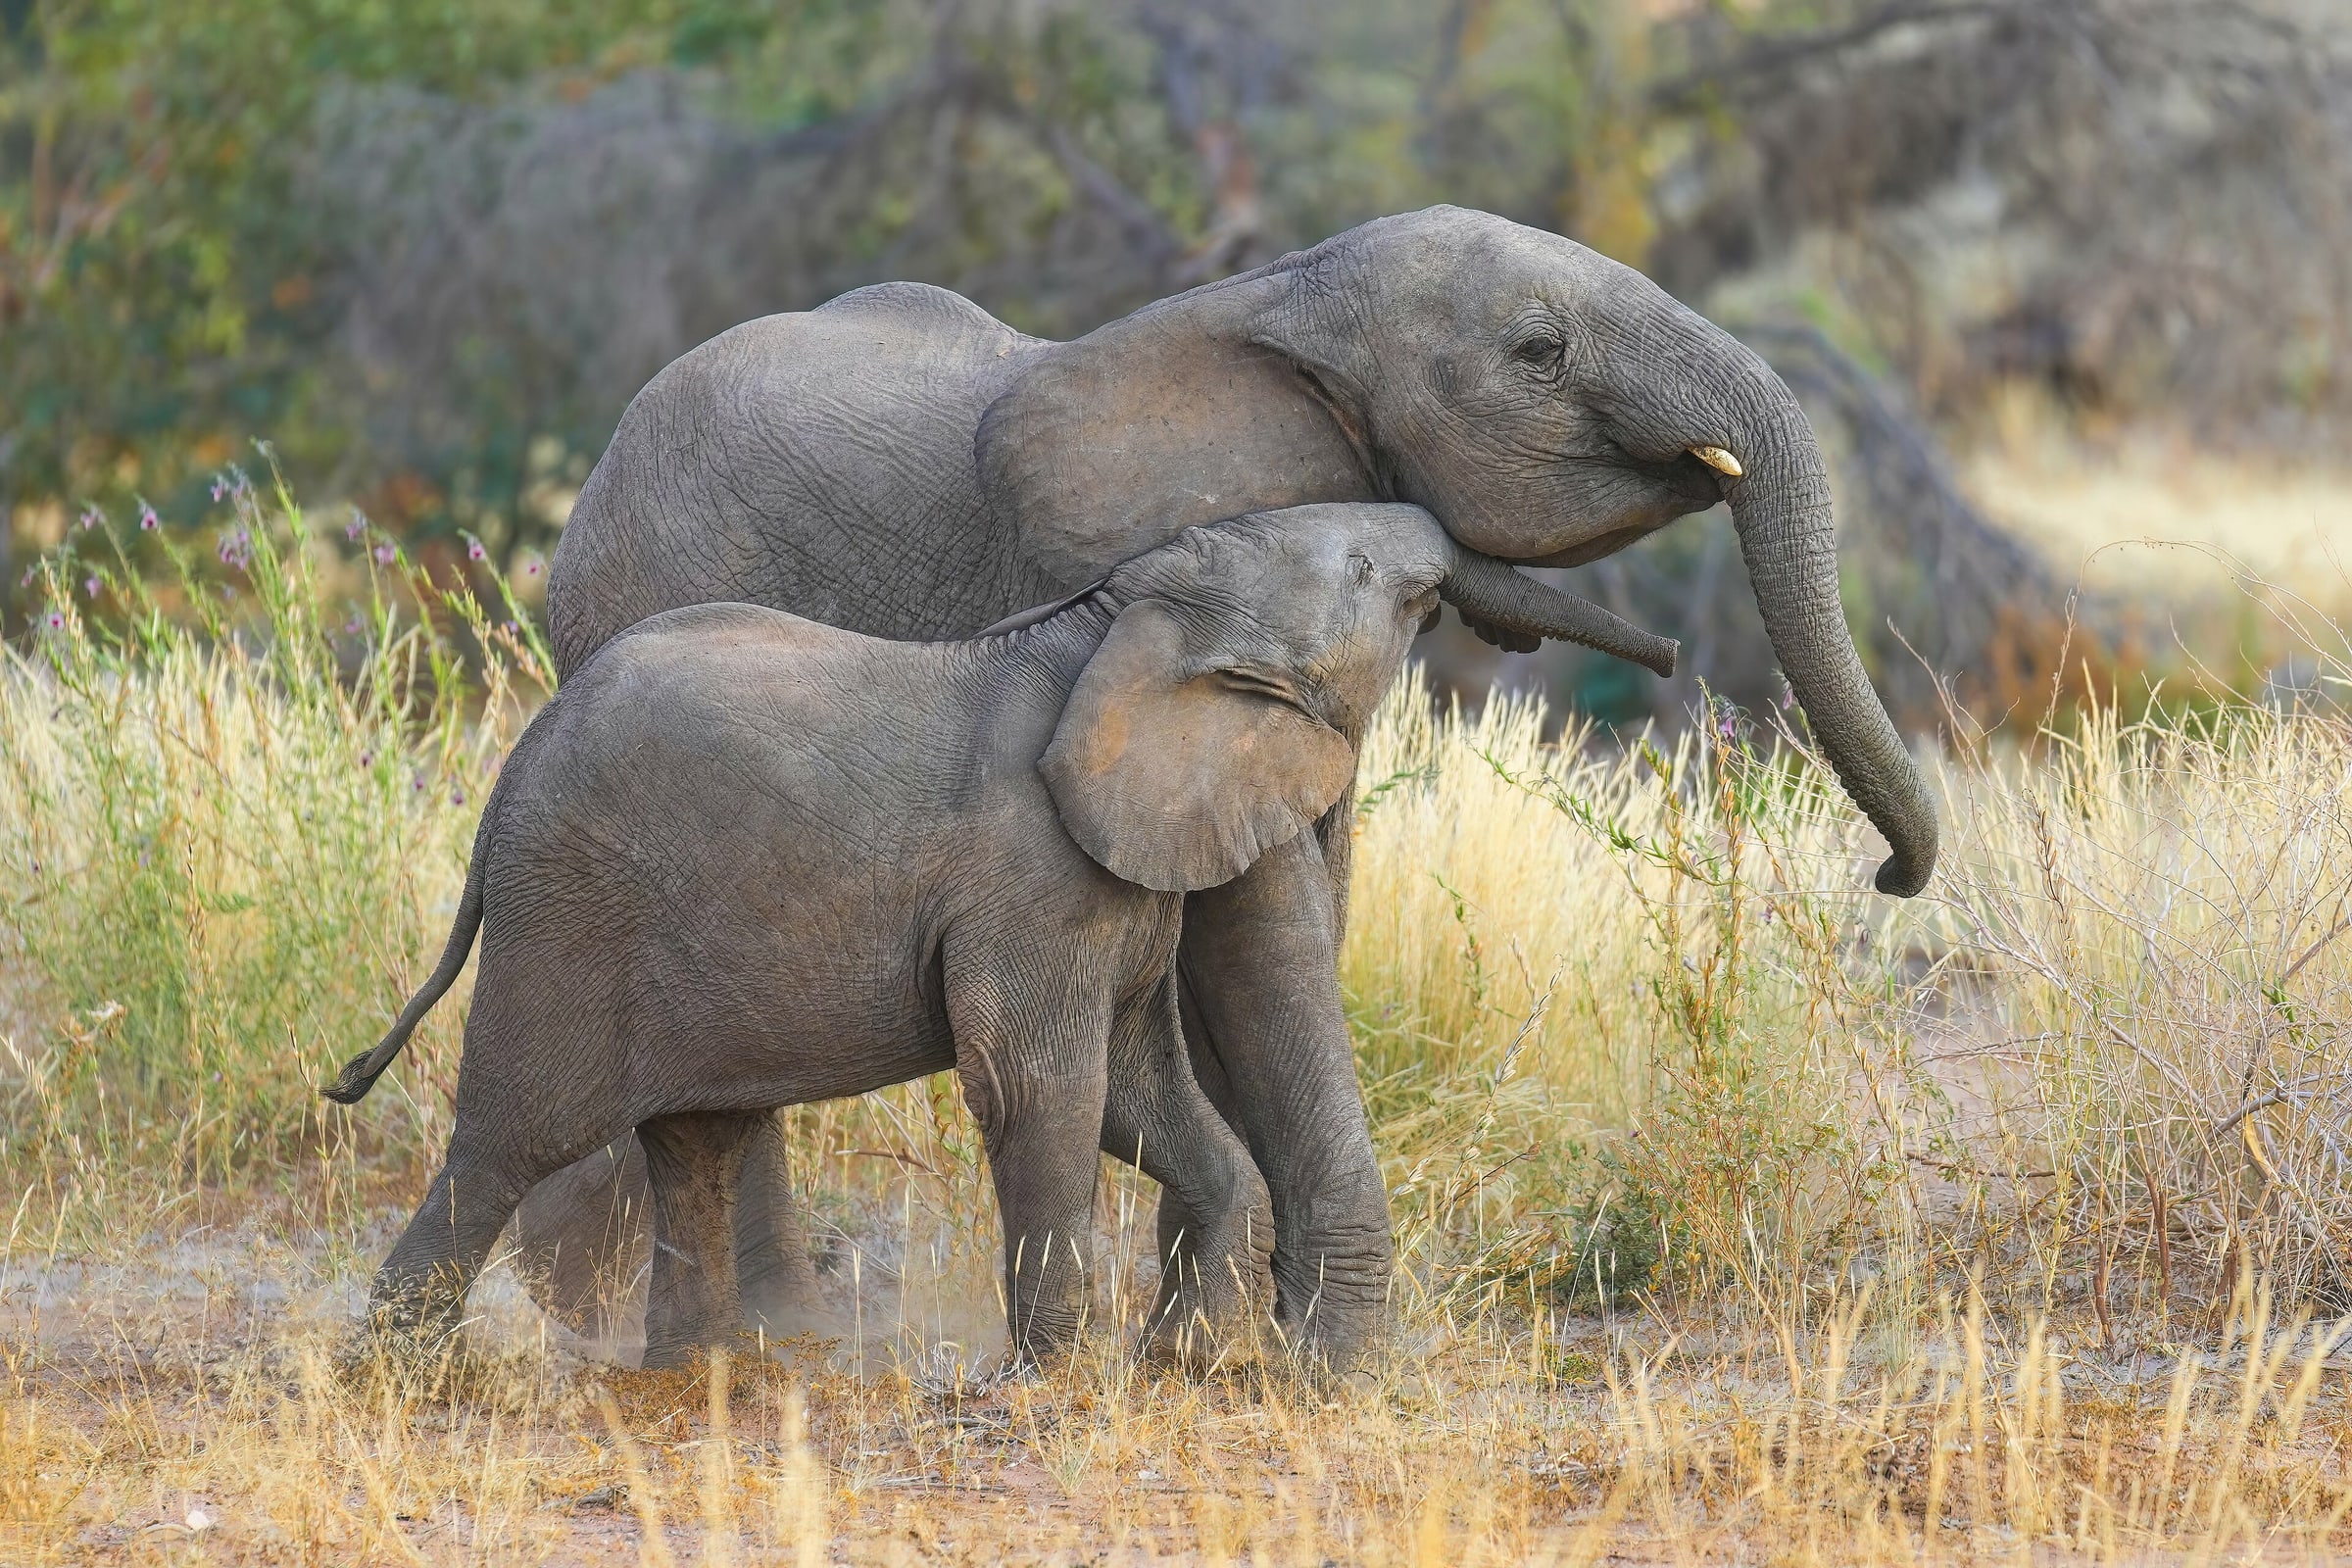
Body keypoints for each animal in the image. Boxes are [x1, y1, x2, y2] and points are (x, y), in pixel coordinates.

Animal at [327, 502, 1679, 1369]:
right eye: (1361, 573)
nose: (1667, 650)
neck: (1118, 615)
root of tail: (508, 778)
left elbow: (1134, 1088)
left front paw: (1187, 1360)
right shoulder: (1033, 878)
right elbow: (1038, 1082)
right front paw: (1054, 1383)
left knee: (695, 1137)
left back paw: (701, 1368)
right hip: (572, 920)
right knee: (510, 1143)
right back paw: (399, 1375)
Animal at [519, 203, 1938, 1364]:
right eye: (1538, 351)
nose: (1892, 873)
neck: (1283, 297)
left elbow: (1294, 916)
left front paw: (1232, 1343)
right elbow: (1263, 931)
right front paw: (1314, 1360)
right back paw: (759, 1342)